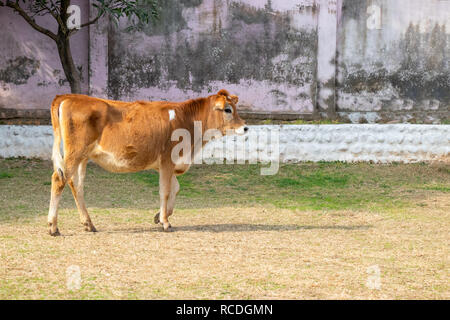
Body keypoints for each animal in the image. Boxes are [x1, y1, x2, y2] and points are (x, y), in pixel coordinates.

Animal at [47, 90, 248, 235]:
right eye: (227, 109)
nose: (246, 127)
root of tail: (69, 96)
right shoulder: (167, 160)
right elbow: (165, 191)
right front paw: (165, 222)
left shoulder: (169, 164)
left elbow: (175, 189)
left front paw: (160, 216)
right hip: (75, 153)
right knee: (59, 179)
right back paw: (53, 227)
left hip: (83, 158)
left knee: (76, 184)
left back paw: (88, 224)